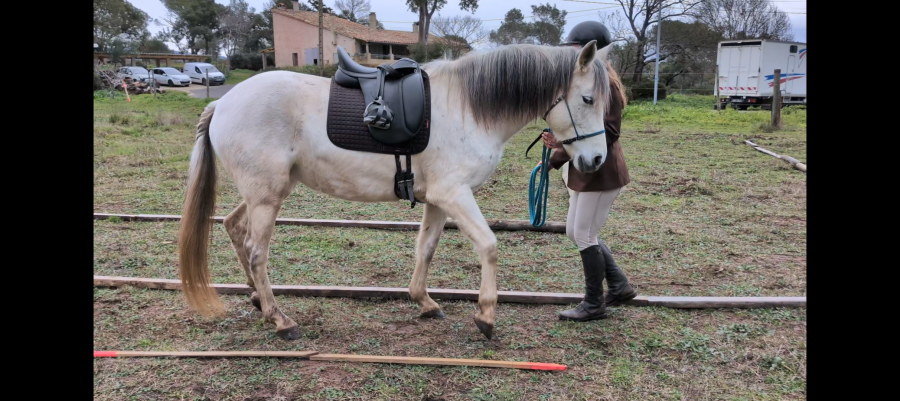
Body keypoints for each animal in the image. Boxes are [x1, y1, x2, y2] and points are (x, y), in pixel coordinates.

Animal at [177, 41, 614, 340]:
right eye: (587, 98)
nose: (595, 160)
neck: (468, 107)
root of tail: (223, 104)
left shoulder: (438, 199)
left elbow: (426, 248)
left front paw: (424, 302)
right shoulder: (455, 195)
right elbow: (489, 246)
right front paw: (486, 316)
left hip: (262, 193)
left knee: (233, 227)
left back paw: (256, 299)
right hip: (267, 197)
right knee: (256, 252)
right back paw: (280, 320)